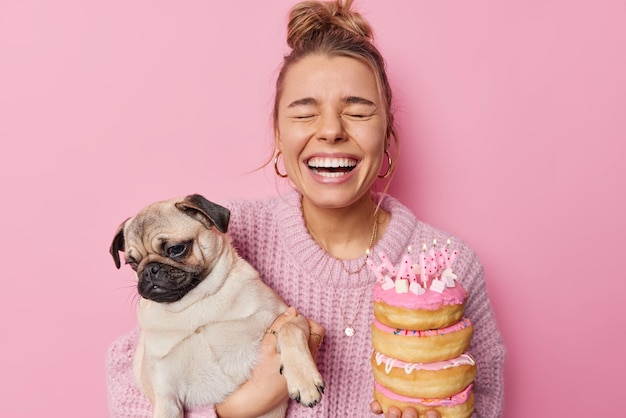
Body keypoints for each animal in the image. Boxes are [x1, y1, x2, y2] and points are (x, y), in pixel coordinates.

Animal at [110, 194, 324, 416]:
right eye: (132, 263)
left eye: (176, 249)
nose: (149, 270)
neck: (195, 302)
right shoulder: (166, 397)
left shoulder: (288, 316)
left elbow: (289, 329)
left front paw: (304, 380)